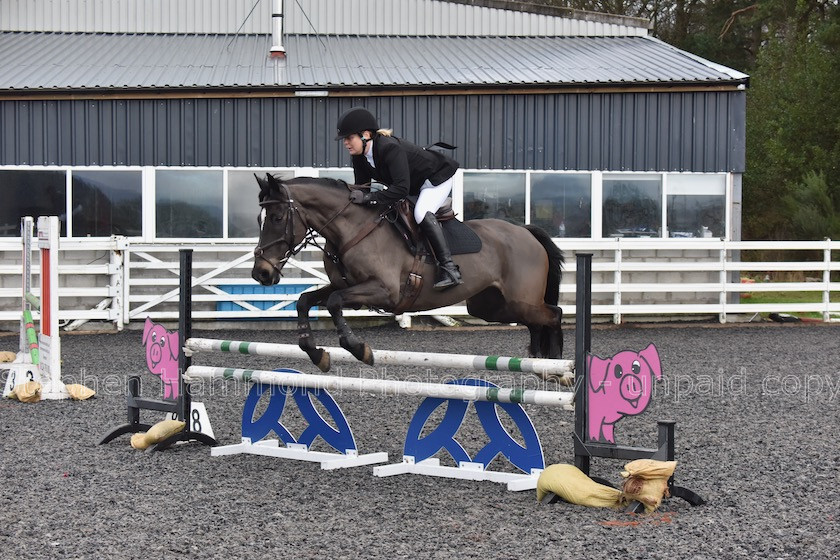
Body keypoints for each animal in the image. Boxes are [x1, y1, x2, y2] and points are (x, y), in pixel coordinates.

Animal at [248, 174, 564, 380]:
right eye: (259, 219)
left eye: (277, 218)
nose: (261, 273)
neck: (351, 229)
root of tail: (525, 231)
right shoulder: (347, 287)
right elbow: (305, 300)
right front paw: (316, 354)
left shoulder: (384, 291)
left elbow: (335, 302)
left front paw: (359, 349)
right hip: (490, 306)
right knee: (536, 322)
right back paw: (541, 366)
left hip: (519, 300)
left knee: (554, 314)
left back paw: (560, 371)